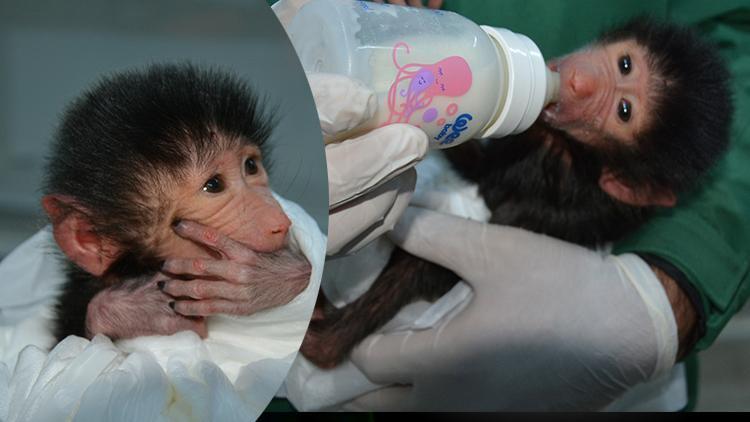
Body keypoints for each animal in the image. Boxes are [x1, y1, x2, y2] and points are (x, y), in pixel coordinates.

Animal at [302, 17, 736, 366]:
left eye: (624, 111)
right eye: (625, 63)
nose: (579, 82)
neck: (572, 154)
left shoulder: (567, 203)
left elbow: (460, 245)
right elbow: (484, 165)